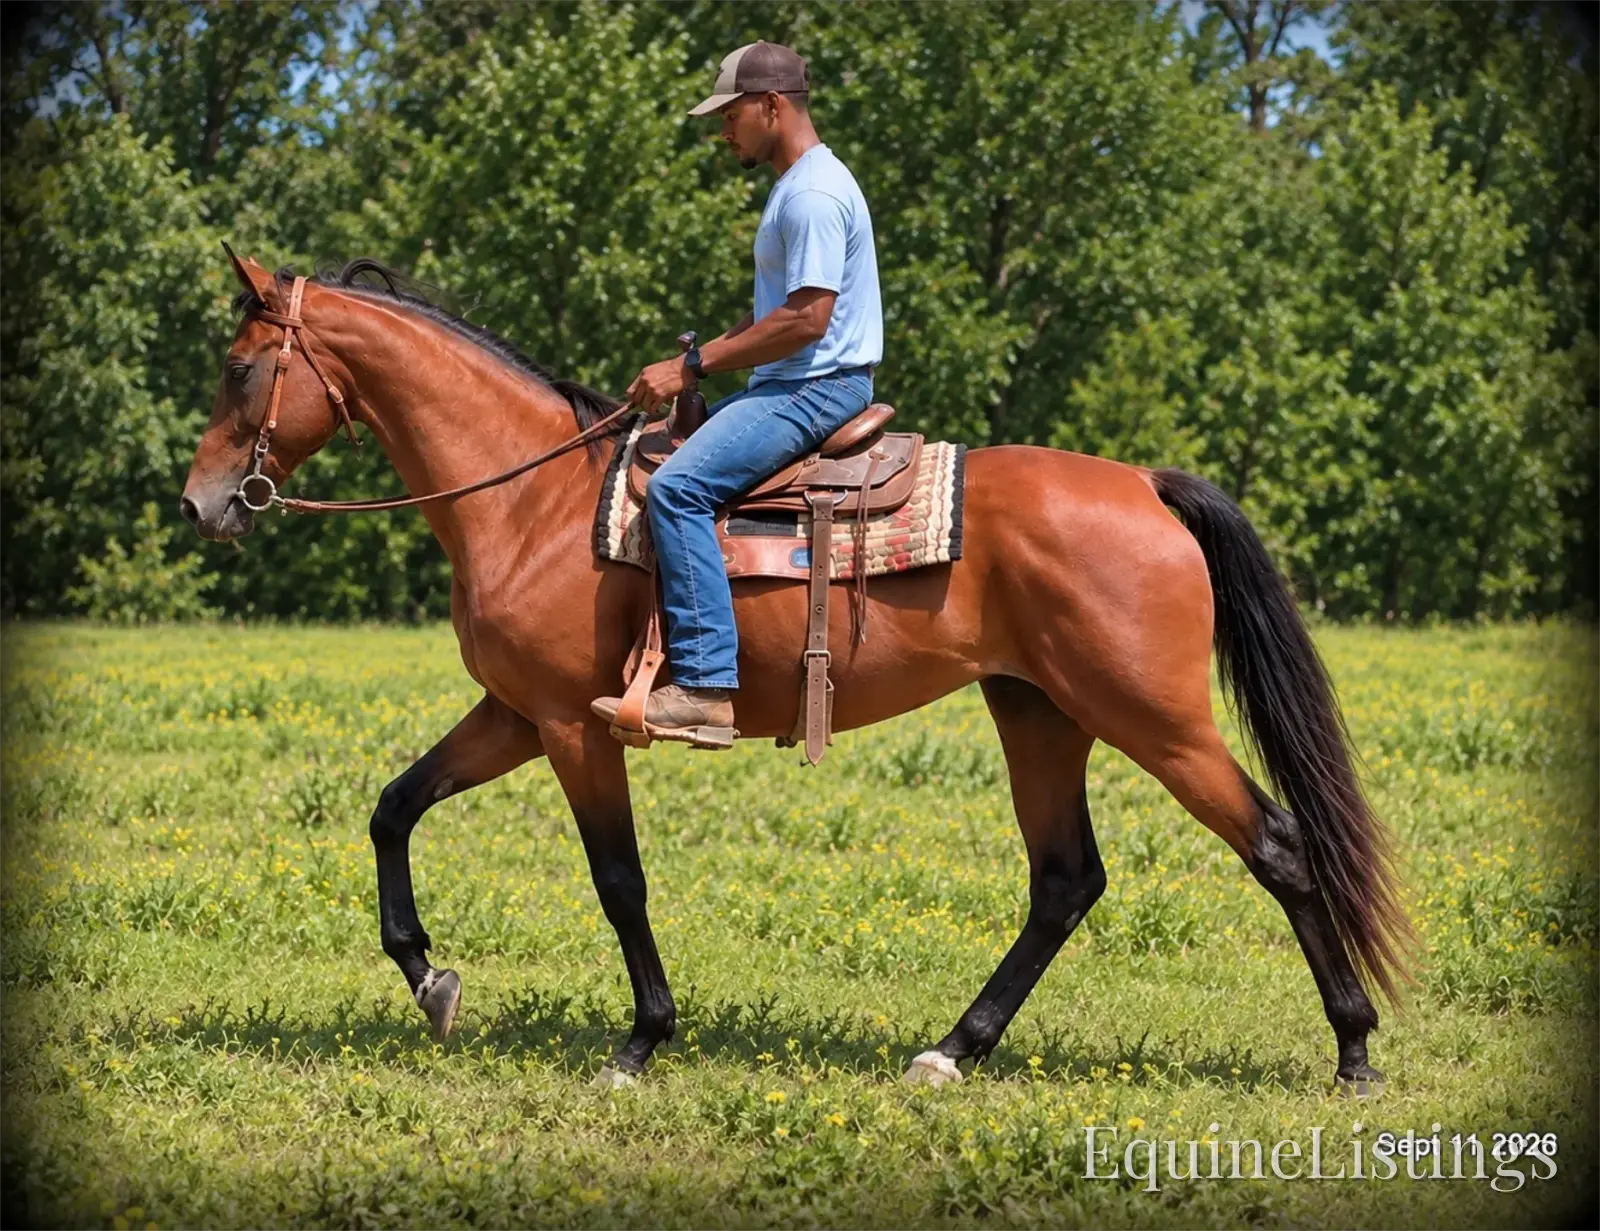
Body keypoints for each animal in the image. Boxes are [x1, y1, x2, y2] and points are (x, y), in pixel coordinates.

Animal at [180, 251, 1410, 1093]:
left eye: (240, 368)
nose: (199, 505)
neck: (529, 499)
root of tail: (1146, 486)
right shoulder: (516, 714)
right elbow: (393, 808)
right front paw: (428, 977)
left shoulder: (575, 727)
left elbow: (618, 880)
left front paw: (641, 1038)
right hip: (1038, 711)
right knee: (1065, 880)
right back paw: (952, 1049)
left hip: (1152, 718)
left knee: (1277, 845)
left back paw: (1353, 1047)